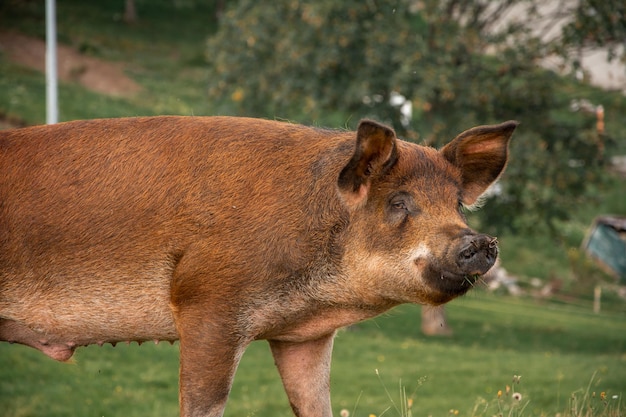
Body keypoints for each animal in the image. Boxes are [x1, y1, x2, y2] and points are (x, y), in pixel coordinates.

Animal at [0, 116, 516, 416]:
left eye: (456, 204)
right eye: (399, 203)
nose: (480, 241)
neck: (318, 297)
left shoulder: (303, 336)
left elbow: (315, 403)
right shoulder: (207, 302)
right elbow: (204, 403)